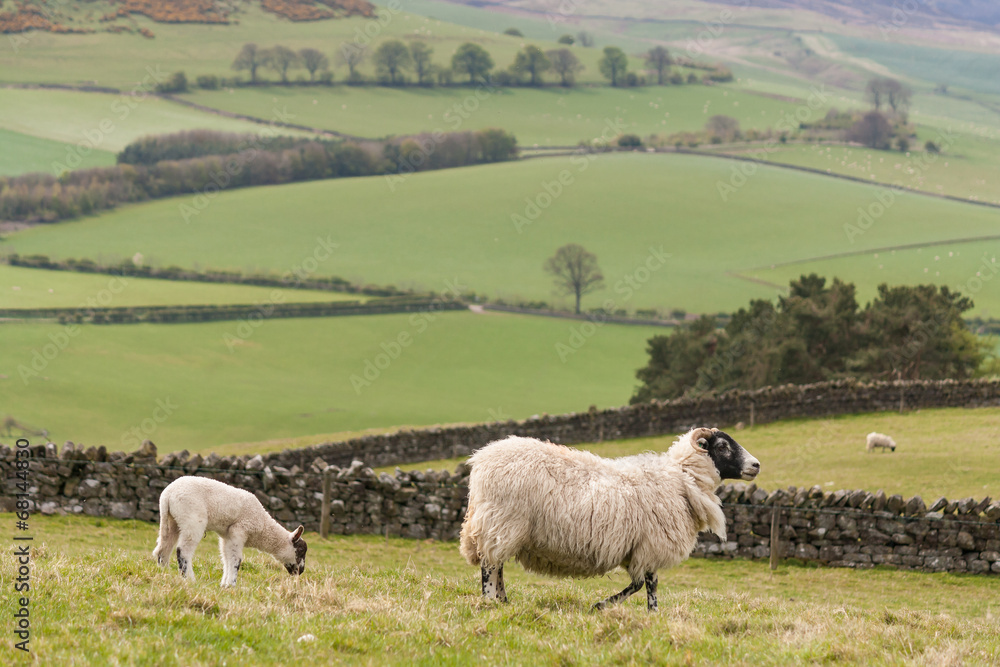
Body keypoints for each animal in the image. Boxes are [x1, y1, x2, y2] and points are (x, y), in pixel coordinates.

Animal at [151, 476, 307, 587]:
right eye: (300, 551)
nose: (301, 572)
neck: (263, 526)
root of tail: (167, 495)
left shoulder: (226, 535)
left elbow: (226, 558)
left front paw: (224, 584)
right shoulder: (239, 530)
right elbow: (235, 559)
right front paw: (232, 584)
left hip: (171, 521)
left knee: (163, 549)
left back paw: (164, 574)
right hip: (192, 519)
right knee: (183, 551)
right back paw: (189, 579)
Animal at [459, 427, 760, 611]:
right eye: (723, 446)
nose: (756, 465)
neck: (681, 478)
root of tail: (481, 461)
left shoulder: (639, 547)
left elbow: (639, 583)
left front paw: (607, 606)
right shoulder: (651, 544)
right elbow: (649, 584)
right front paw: (646, 612)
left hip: (499, 526)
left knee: (497, 565)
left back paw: (503, 602)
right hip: (501, 522)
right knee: (489, 565)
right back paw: (489, 601)